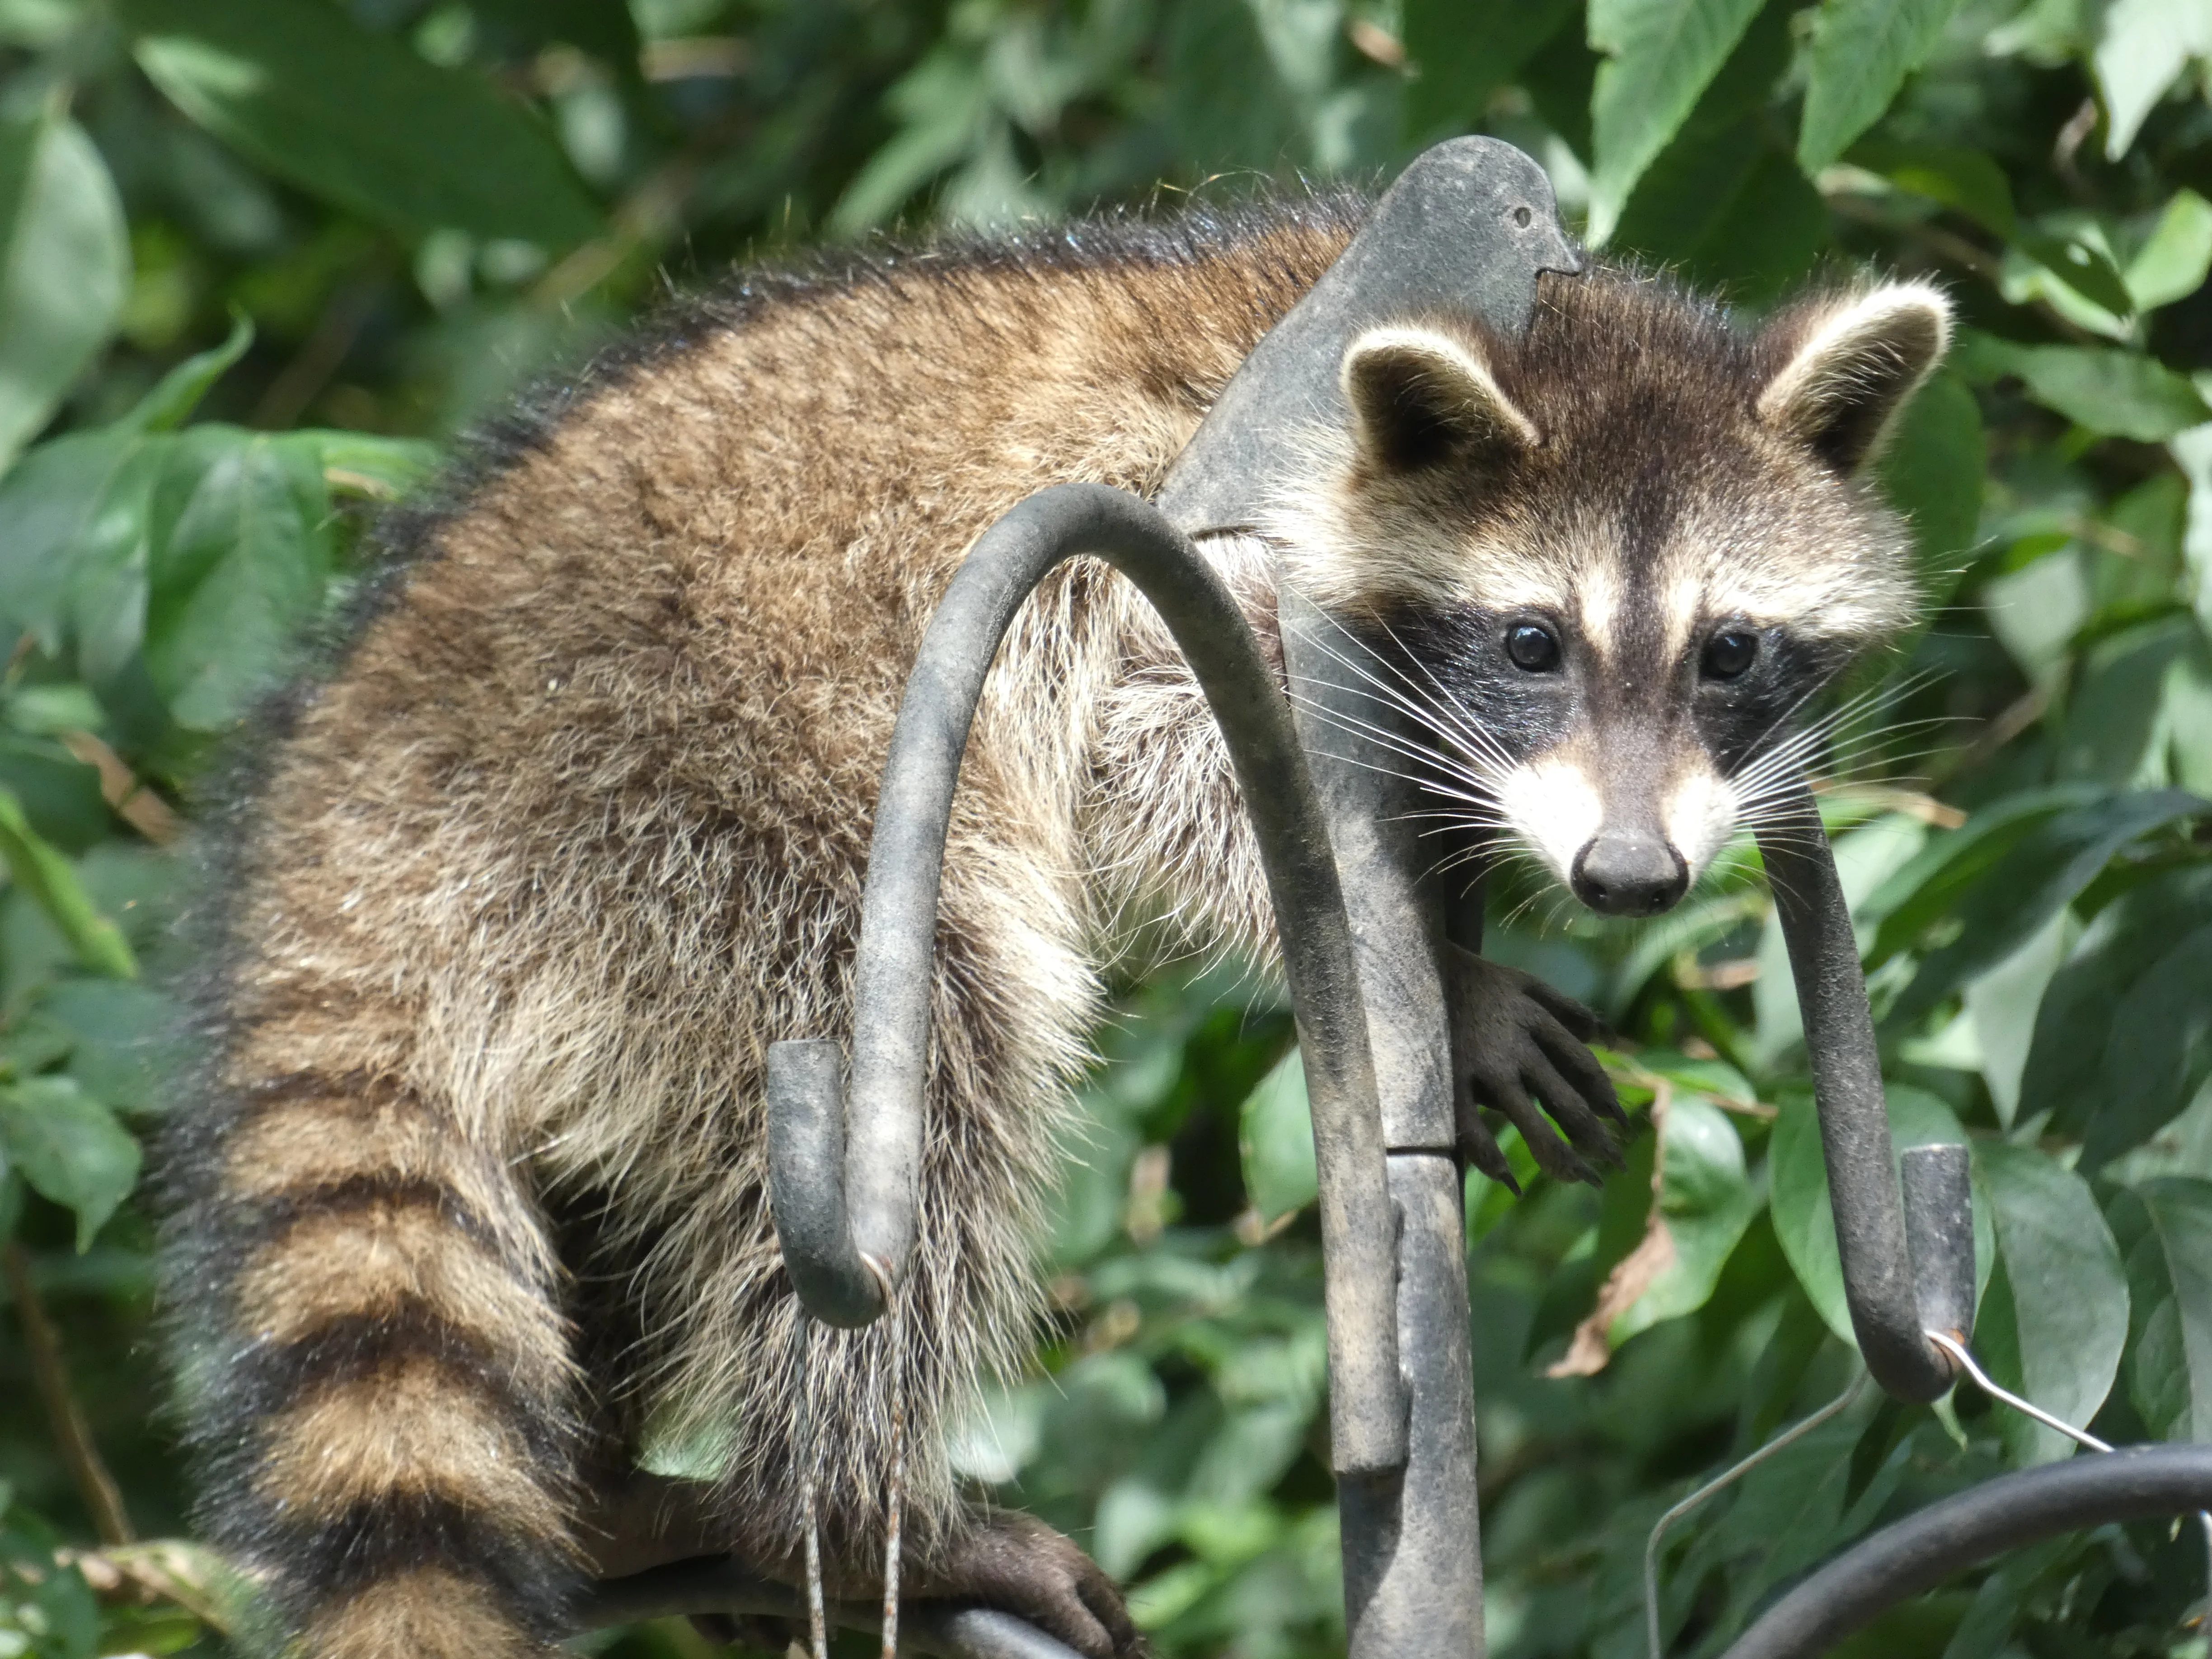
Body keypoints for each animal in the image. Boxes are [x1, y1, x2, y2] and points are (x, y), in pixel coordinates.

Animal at [160, 188, 1947, 1659]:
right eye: (1532, 641)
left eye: (1730, 650)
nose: (1632, 878)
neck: (1551, 335)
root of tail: (355, 787)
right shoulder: (1205, 527)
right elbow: (1157, 757)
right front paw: (1449, 980)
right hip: (699, 787)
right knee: (935, 1048)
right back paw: (848, 1506)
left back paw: (613, 1496)